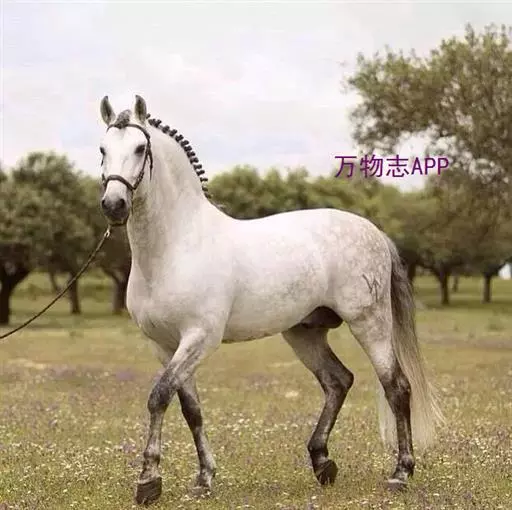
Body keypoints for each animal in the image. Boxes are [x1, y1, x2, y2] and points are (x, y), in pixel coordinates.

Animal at [97, 94, 443, 505]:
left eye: (139, 148)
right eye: (102, 149)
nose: (114, 204)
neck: (177, 246)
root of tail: (373, 230)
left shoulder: (199, 338)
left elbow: (158, 396)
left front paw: (149, 480)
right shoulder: (164, 346)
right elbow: (190, 408)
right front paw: (204, 478)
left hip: (369, 324)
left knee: (396, 387)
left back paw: (401, 472)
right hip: (304, 333)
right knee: (338, 381)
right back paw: (322, 462)